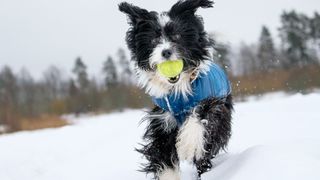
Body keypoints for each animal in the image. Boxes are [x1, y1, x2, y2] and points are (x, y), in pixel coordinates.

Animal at [117, 0, 232, 179]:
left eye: (177, 36)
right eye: (153, 40)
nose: (166, 52)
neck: (178, 90)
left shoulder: (212, 104)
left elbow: (200, 117)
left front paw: (188, 145)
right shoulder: (162, 120)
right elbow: (162, 154)